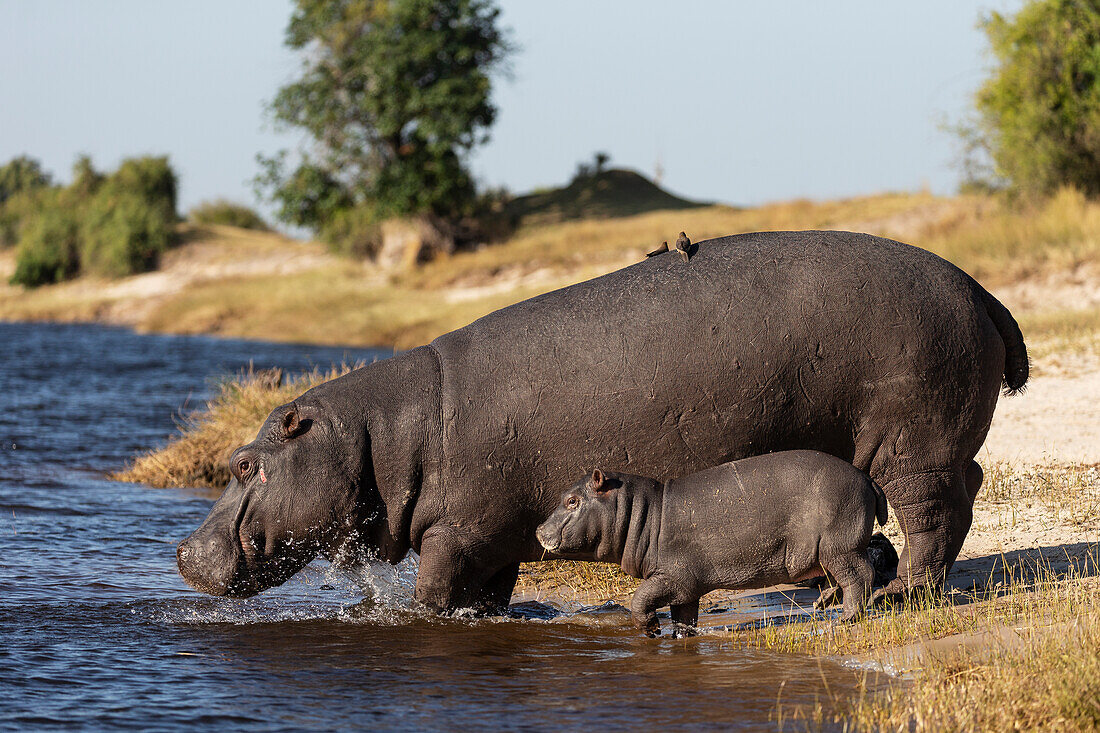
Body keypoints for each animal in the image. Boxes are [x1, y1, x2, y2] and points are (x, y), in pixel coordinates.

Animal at [176, 231, 1025, 607]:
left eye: (243, 463)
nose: (182, 551)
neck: (377, 433)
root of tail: (981, 289)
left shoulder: (455, 530)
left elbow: (432, 590)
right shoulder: (496, 531)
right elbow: (489, 592)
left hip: (912, 442)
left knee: (933, 515)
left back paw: (898, 593)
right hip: (934, 442)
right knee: (967, 490)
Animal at [536, 449, 888, 629]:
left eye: (572, 500)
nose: (538, 530)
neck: (644, 512)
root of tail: (866, 477)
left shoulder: (673, 577)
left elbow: (639, 600)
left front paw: (651, 629)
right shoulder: (686, 590)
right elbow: (684, 620)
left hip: (839, 546)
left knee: (860, 576)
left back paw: (845, 618)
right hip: (829, 550)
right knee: (847, 577)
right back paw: (822, 604)